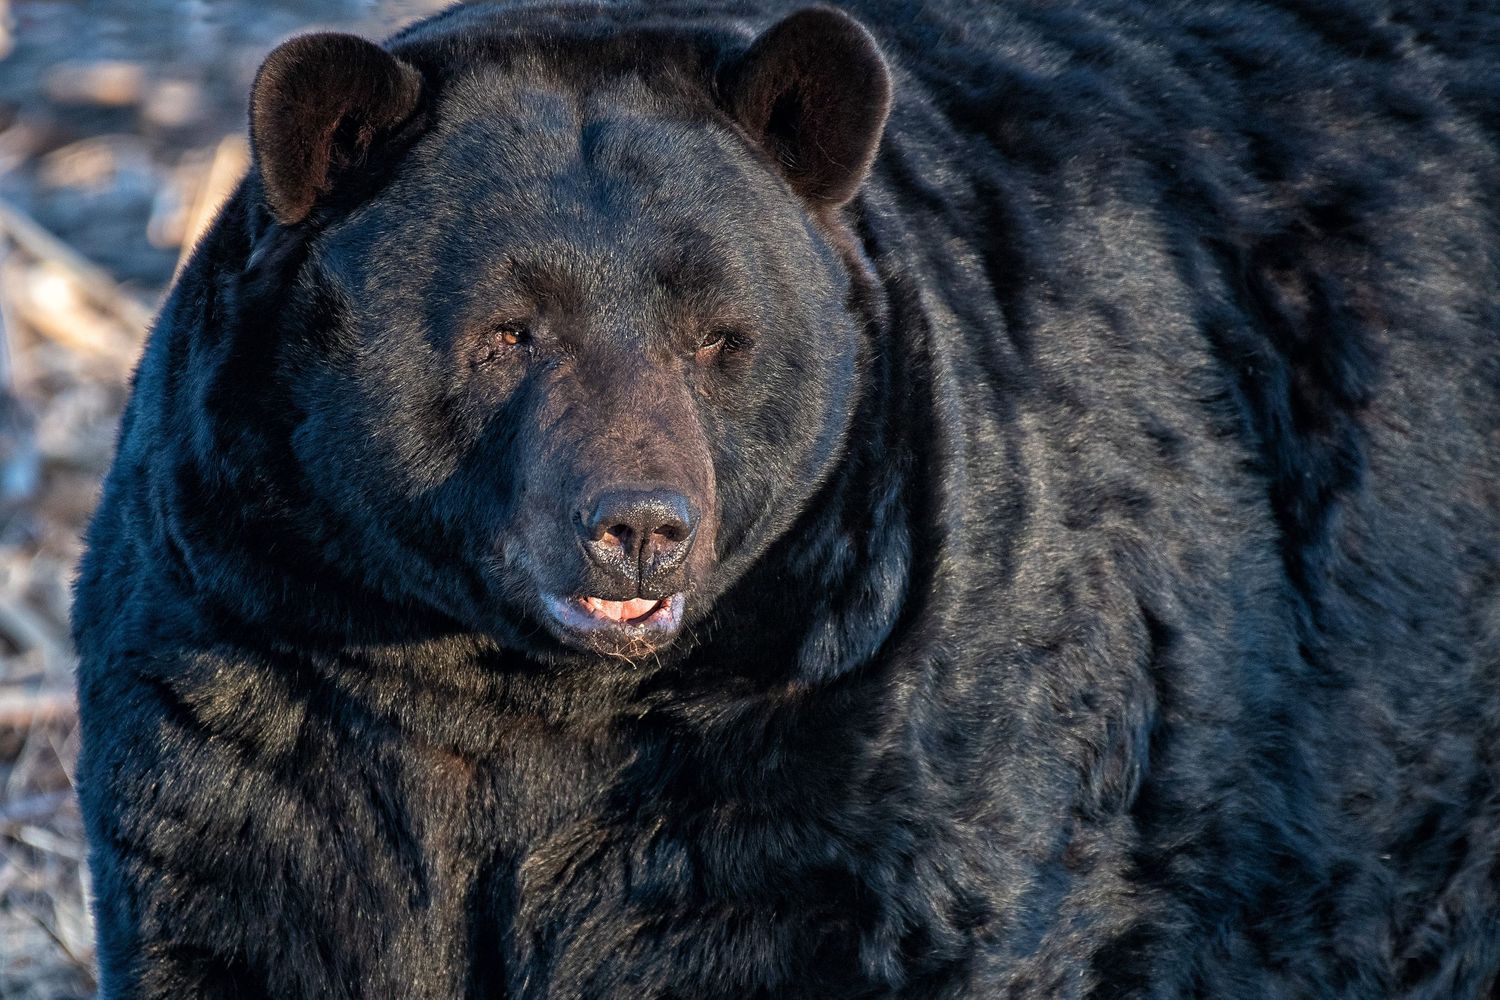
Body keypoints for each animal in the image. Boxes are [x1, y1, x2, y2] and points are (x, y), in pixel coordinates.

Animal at [71, 0, 1500, 997]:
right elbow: (246, 905)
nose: (642, 525)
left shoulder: (872, 724)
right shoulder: (250, 673)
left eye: (718, 336)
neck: (512, 695)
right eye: (509, 332)